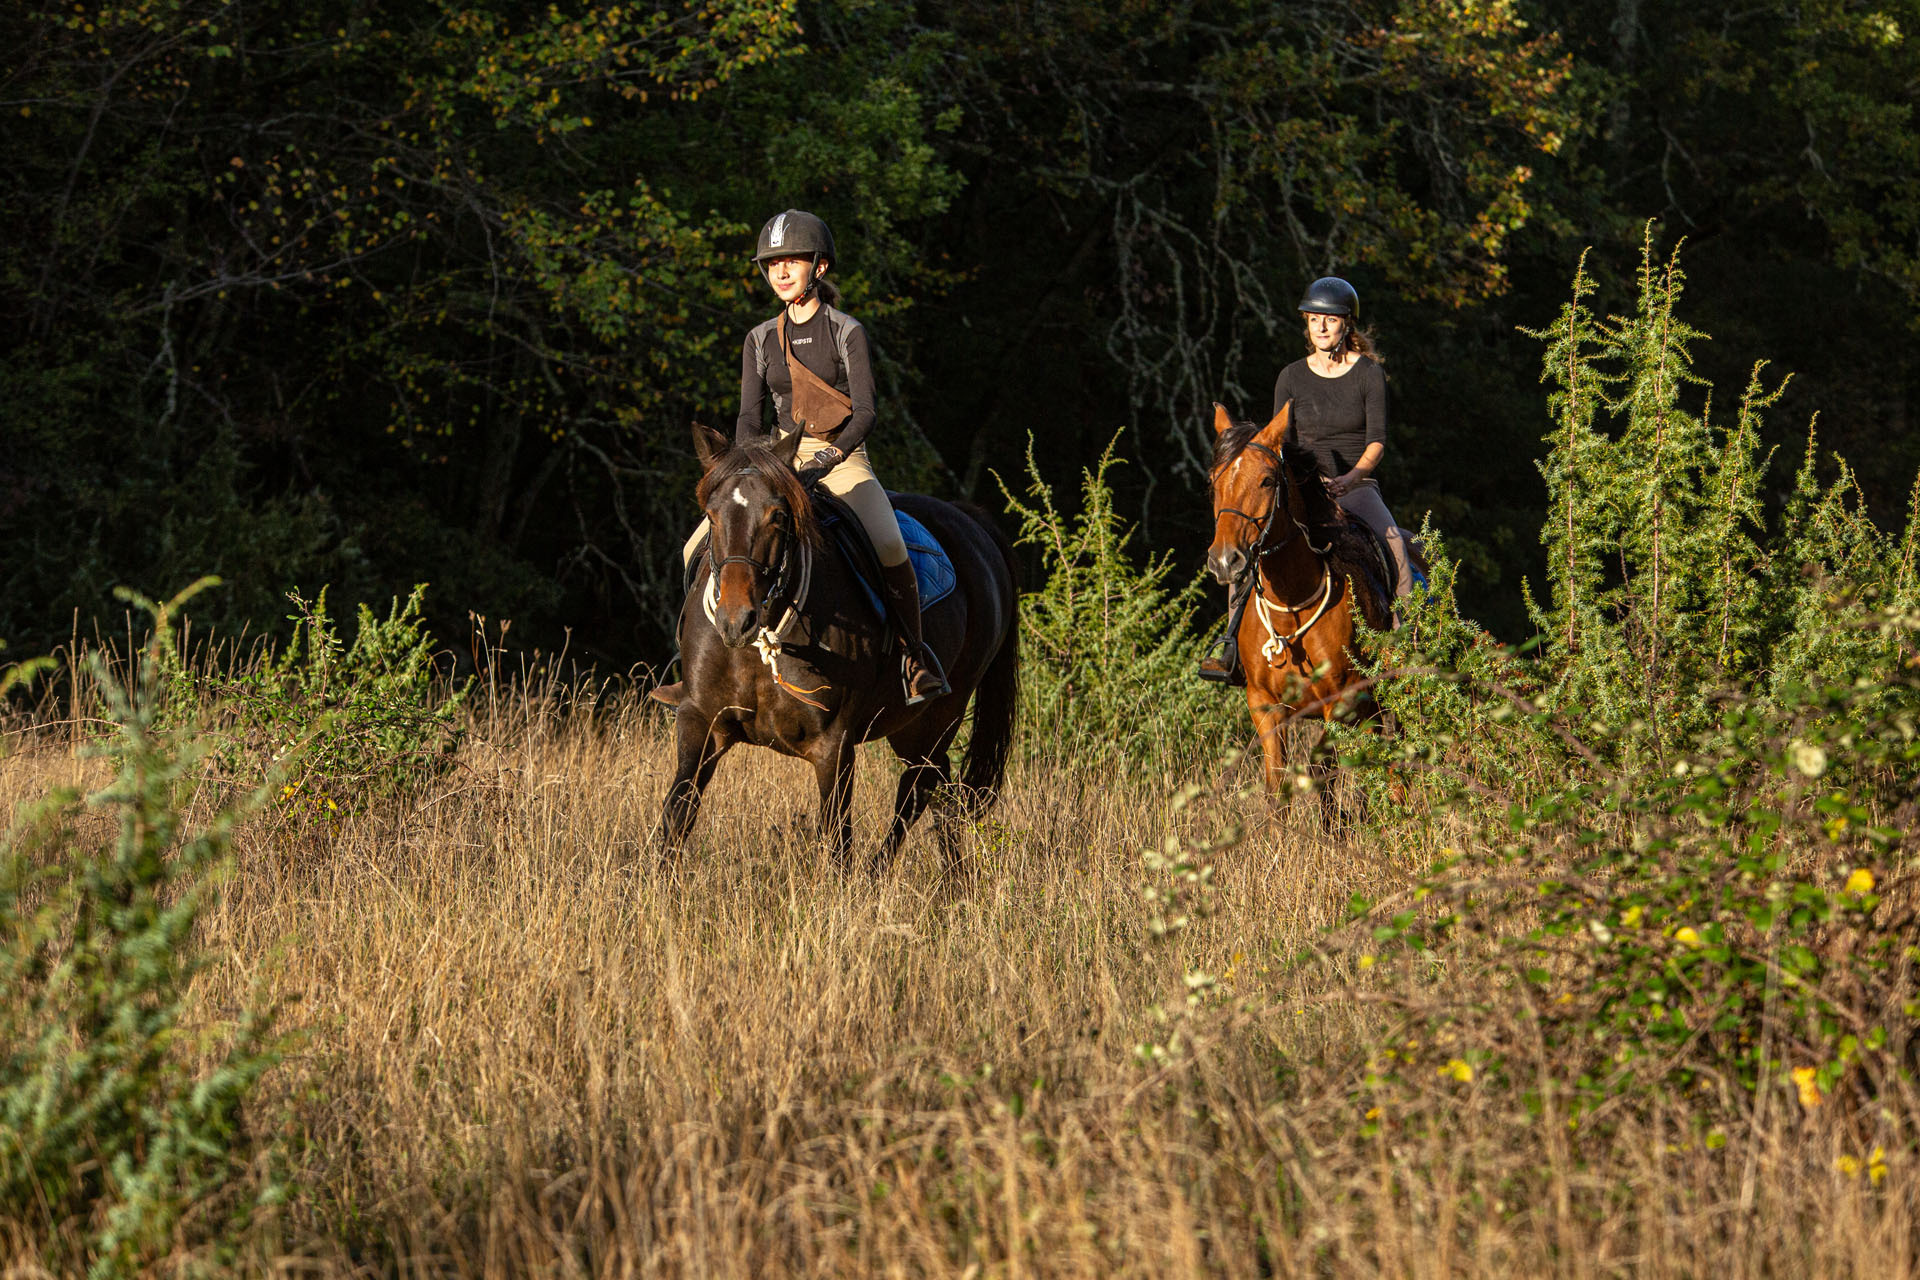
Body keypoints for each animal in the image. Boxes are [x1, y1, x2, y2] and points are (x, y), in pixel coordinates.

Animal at [652, 426, 1021, 875]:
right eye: (711, 515)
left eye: (778, 516)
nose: (736, 621)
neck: (761, 645)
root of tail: (972, 523)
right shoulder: (700, 720)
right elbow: (677, 812)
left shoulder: (833, 744)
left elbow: (836, 837)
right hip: (909, 725)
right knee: (935, 786)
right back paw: (948, 878)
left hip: (941, 713)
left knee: (920, 785)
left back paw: (888, 875)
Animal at [1205, 404, 1390, 790]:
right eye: (1214, 481)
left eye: (1267, 481)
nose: (1225, 560)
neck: (1290, 607)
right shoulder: (1263, 705)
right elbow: (1277, 781)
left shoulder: (1344, 703)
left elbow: (1321, 769)